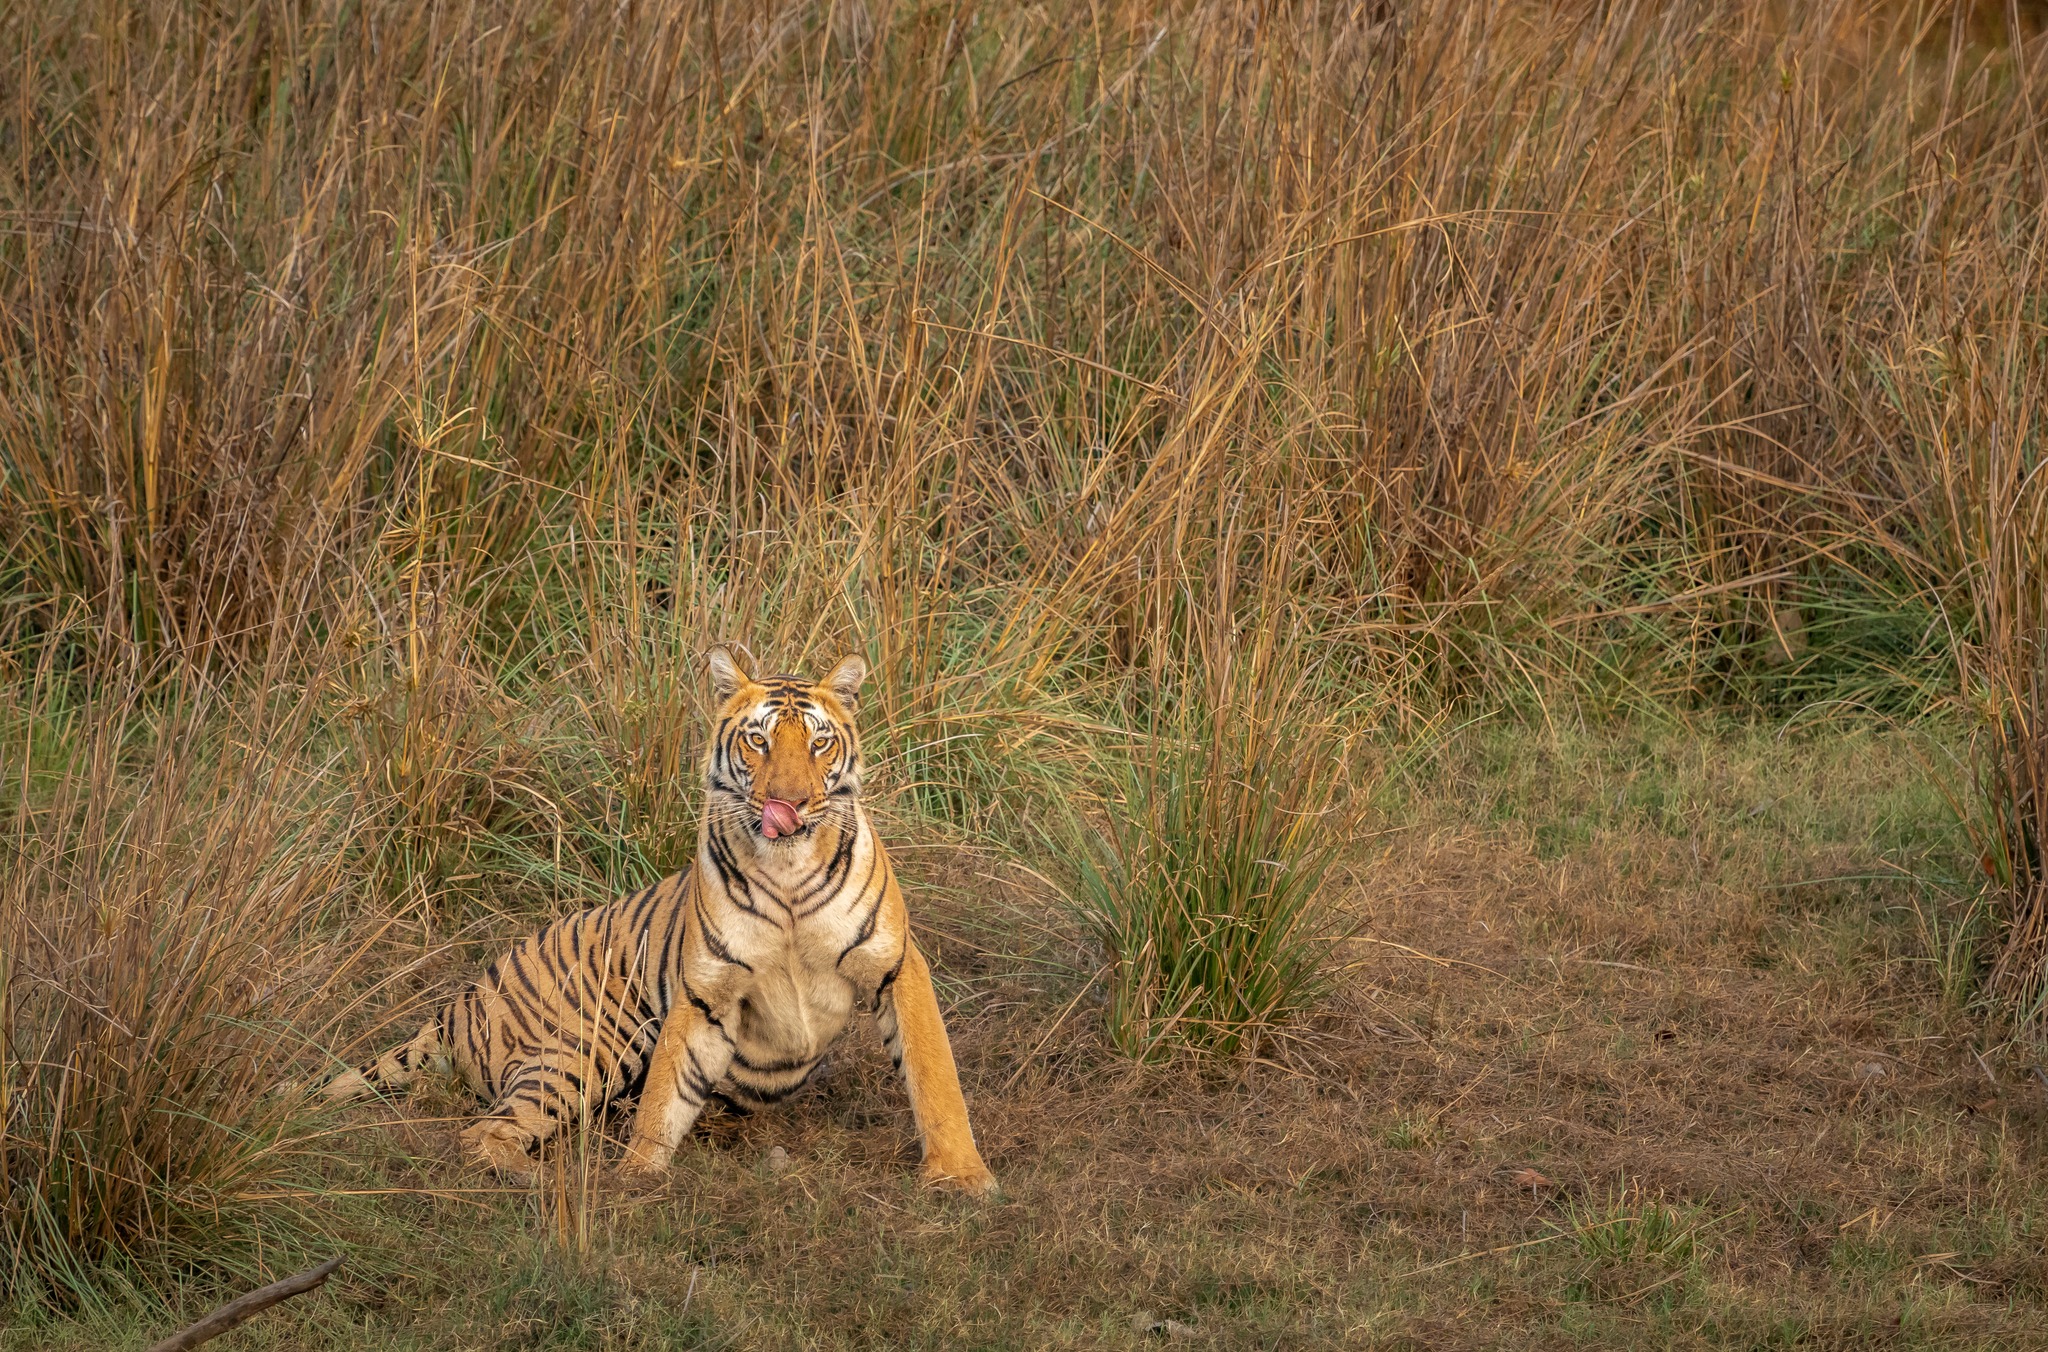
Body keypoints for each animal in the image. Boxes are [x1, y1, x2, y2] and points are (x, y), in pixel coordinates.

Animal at [323, 644, 997, 1195]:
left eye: (819, 742)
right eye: (759, 741)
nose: (789, 803)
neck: (787, 871)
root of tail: (458, 999)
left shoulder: (895, 966)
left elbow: (935, 1075)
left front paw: (962, 1176)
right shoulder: (705, 991)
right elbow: (667, 1092)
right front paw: (637, 1176)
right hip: (587, 1046)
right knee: (483, 1132)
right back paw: (538, 1178)